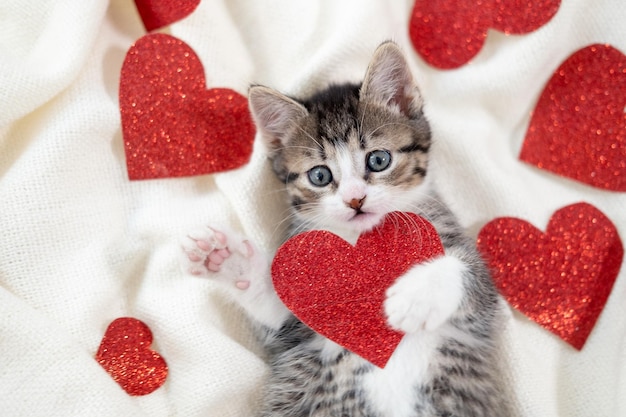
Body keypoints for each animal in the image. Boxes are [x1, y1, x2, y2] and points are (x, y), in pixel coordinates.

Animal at [183, 40, 510, 414]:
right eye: (320, 175)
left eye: (379, 160)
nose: (355, 200)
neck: (360, 239)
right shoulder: (297, 334)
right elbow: (278, 310)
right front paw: (227, 258)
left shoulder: (479, 311)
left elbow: (468, 272)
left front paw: (414, 297)